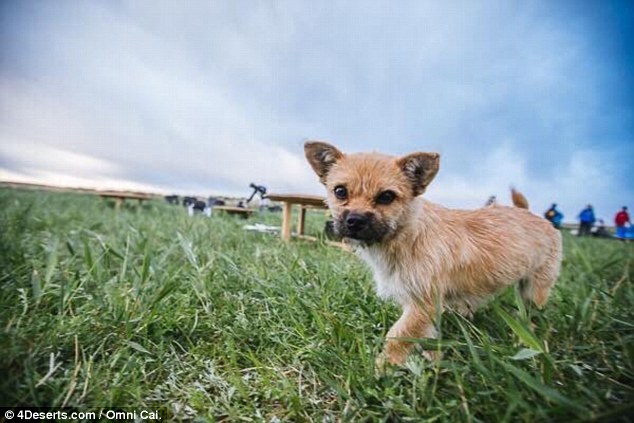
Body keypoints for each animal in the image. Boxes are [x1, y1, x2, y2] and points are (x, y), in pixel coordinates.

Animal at [304, 142, 560, 368]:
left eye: (386, 196)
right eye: (340, 191)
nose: (355, 220)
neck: (405, 236)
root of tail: (534, 215)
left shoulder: (421, 303)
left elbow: (398, 334)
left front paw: (384, 367)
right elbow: (424, 337)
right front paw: (431, 362)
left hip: (535, 289)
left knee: (532, 313)